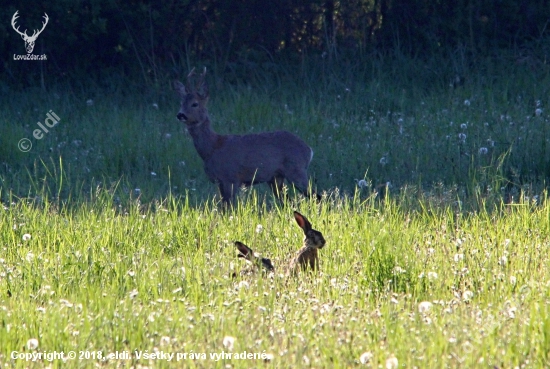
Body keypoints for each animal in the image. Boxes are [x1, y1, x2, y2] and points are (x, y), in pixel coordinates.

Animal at [172, 67, 320, 203]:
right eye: (181, 103)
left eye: (195, 104)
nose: (180, 115)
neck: (212, 148)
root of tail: (309, 150)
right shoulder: (220, 181)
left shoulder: (231, 178)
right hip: (276, 178)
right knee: (288, 201)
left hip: (296, 169)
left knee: (316, 196)